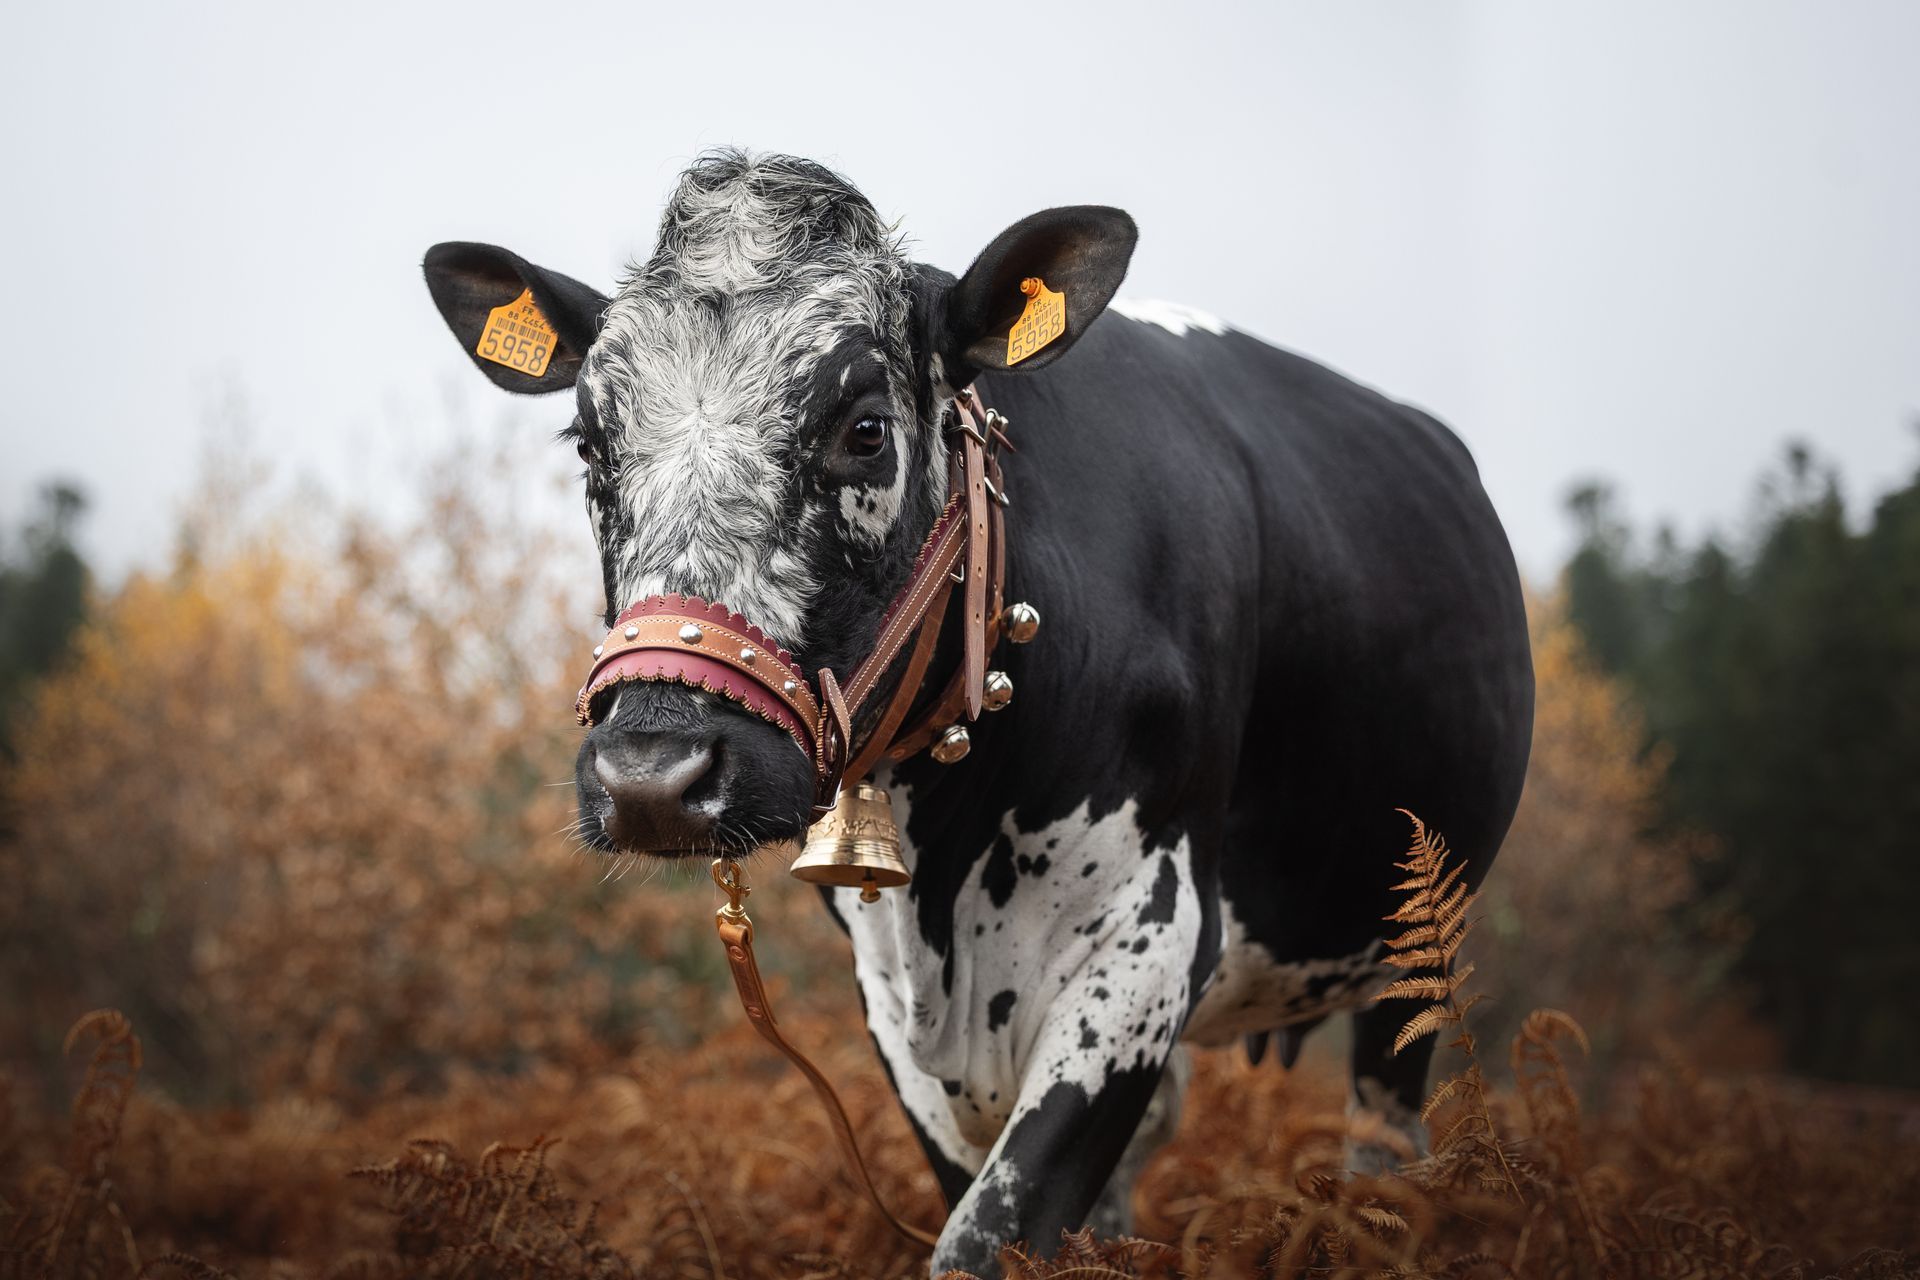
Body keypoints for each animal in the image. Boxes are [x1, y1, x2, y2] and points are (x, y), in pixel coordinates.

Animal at [421, 150, 1533, 1273]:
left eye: (865, 429)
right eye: (589, 443)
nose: (652, 773)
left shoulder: (1152, 941)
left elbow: (989, 1236)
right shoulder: (892, 1002)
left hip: (1413, 957)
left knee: (1386, 1144)